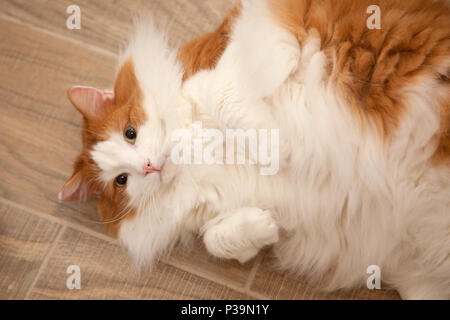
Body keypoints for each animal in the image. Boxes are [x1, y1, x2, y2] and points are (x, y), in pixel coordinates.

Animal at [59, 0, 450, 300]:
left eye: (130, 133)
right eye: (122, 181)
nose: (149, 166)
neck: (193, 159)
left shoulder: (258, 28)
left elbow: (219, 93)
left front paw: (279, 149)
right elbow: (216, 237)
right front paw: (262, 227)